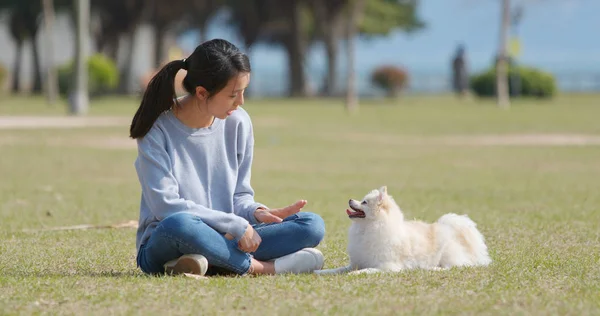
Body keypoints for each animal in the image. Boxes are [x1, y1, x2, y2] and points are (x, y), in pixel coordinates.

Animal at [316, 185, 490, 274]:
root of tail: (453, 229)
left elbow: (365, 270)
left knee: (455, 265)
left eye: (364, 202)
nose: (350, 199)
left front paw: (354, 274)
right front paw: (320, 272)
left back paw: (432, 268)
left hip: (447, 254)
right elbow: (338, 269)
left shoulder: (386, 266)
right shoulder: (356, 261)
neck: (367, 228)